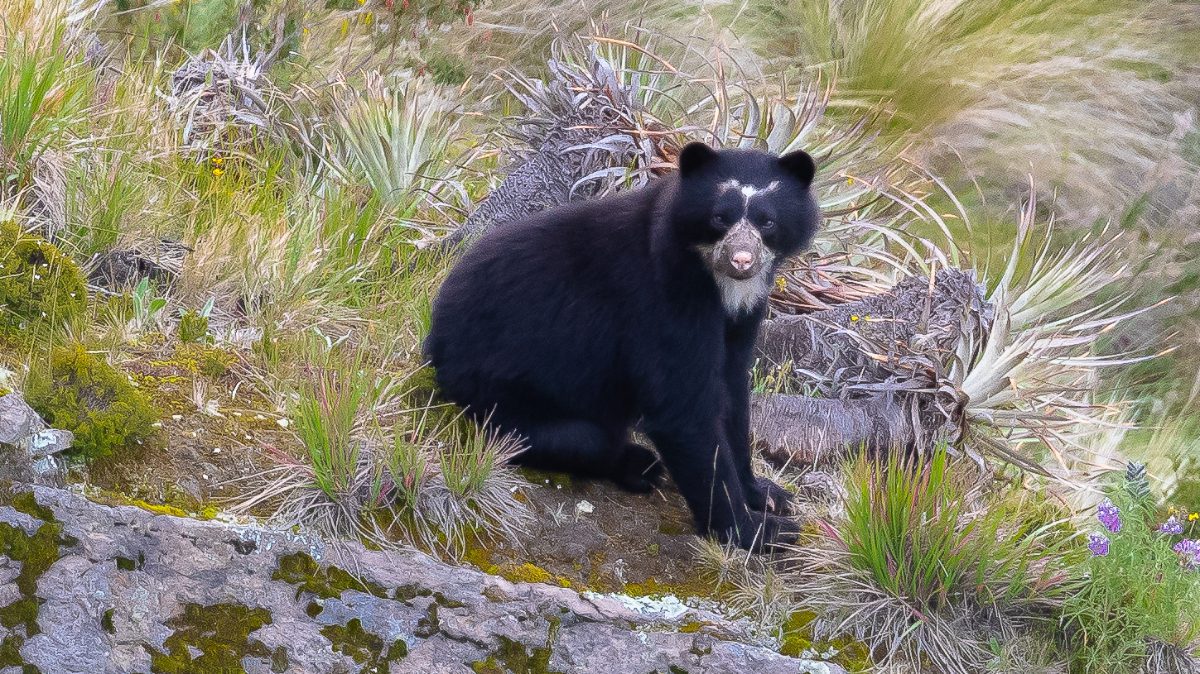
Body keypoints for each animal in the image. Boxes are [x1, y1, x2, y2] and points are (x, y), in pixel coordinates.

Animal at [424, 141, 825, 546]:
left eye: (767, 221)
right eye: (719, 218)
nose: (741, 260)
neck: (719, 284)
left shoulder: (743, 313)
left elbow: (732, 391)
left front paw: (768, 495)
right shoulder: (664, 296)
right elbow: (683, 408)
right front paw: (757, 531)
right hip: (499, 396)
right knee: (582, 439)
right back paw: (639, 465)